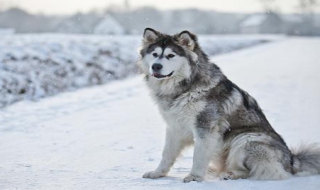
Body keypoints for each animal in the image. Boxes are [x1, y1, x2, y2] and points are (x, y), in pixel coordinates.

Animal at [138, 27, 320, 183]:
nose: (156, 66)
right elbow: (167, 154)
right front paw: (158, 173)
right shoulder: (174, 127)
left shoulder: (206, 127)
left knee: (263, 171)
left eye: (171, 55)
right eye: (154, 54)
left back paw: (231, 174)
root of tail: (292, 160)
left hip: (245, 139)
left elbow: (199, 155)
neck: (185, 87)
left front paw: (195, 177)